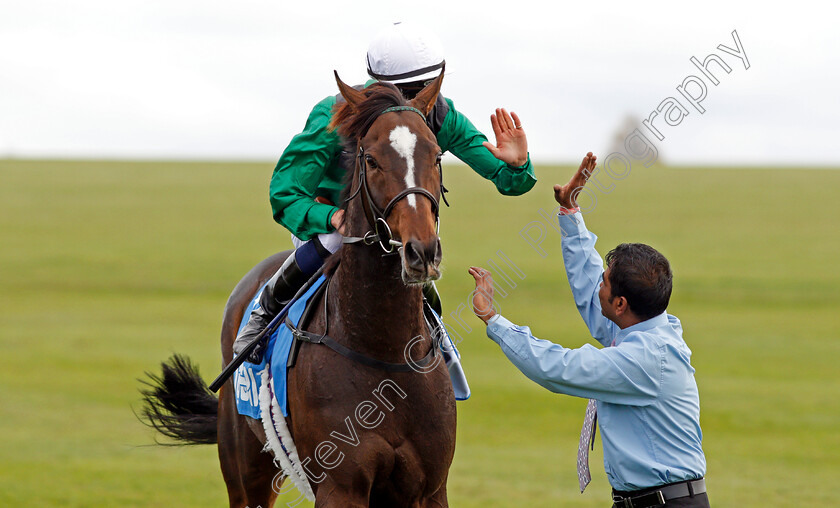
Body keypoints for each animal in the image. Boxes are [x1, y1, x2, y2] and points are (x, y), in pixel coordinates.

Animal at [144, 72, 460, 508]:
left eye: (436, 156)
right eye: (372, 159)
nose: (422, 251)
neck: (384, 351)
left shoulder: (429, 488)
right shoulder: (340, 486)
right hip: (245, 464)